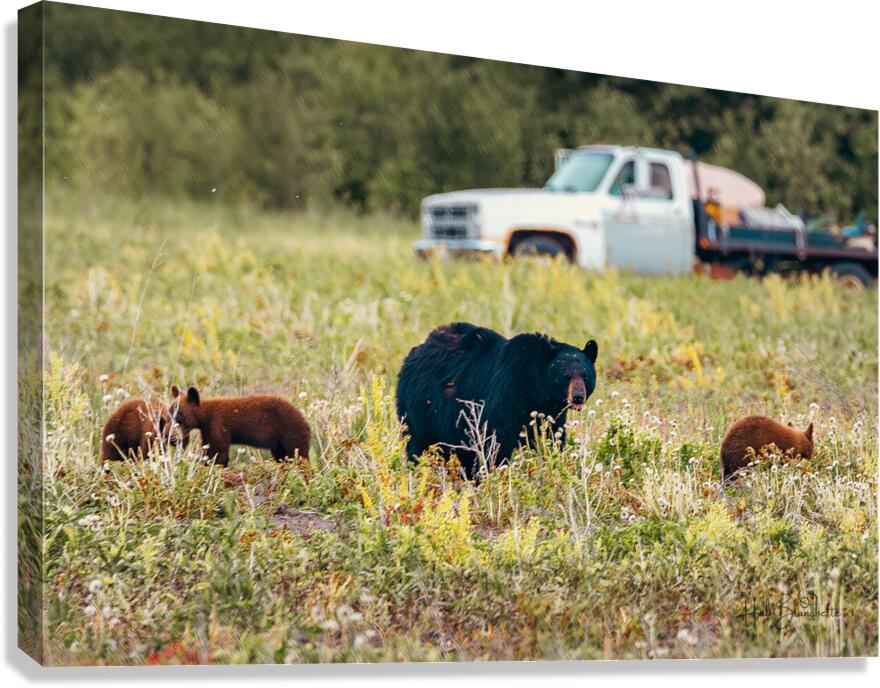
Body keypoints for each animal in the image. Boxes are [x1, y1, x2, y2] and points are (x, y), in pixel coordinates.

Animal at [169, 385, 311, 467]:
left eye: (180, 414)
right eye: (170, 411)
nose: (172, 438)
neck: (206, 416)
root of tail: (304, 420)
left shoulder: (219, 424)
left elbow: (219, 451)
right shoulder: (206, 430)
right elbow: (208, 449)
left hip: (290, 432)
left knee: (299, 454)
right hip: (279, 443)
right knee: (282, 456)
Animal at [396, 322, 598, 479]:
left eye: (585, 375)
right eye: (565, 376)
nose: (578, 397)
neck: (536, 391)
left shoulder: (551, 415)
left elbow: (551, 440)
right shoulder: (505, 398)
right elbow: (497, 444)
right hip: (421, 407)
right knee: (418, 444)